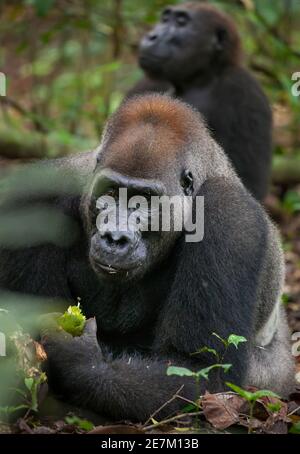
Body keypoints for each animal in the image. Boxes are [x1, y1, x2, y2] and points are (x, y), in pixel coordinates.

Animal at [0, 96, 292, 422]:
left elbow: (201, 370)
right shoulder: (35, 196)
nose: (115, 238)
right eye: (111, 192)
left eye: (144, 201)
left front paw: (79, 362)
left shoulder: (230, 219)